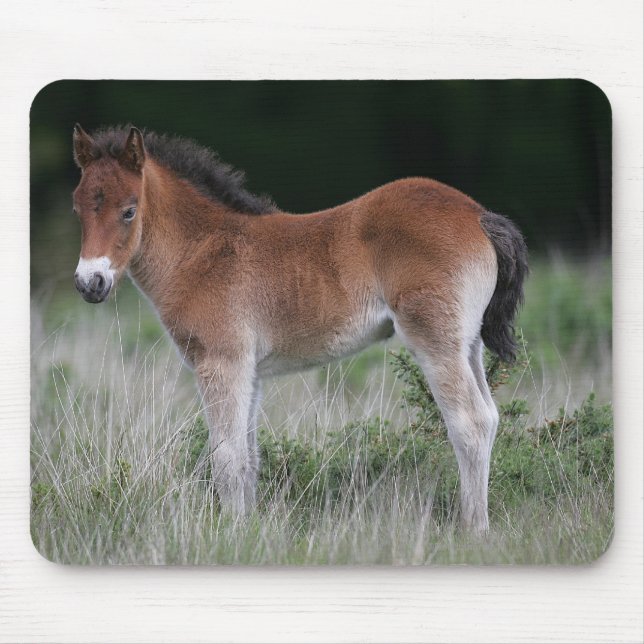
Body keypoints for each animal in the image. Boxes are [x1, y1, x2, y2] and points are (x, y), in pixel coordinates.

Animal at [71, 124, 528, 534]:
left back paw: (473, 530)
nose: (90, 283)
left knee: (469, 423)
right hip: (467, 344)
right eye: (78, 208)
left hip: (435, 341)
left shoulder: (222, 362)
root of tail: (478, 214)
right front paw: (247, 529)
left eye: (129, 210)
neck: (202, 251)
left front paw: (230, 533)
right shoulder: (249, 371)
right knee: (489, 417)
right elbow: (248, 457)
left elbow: (225, 456)